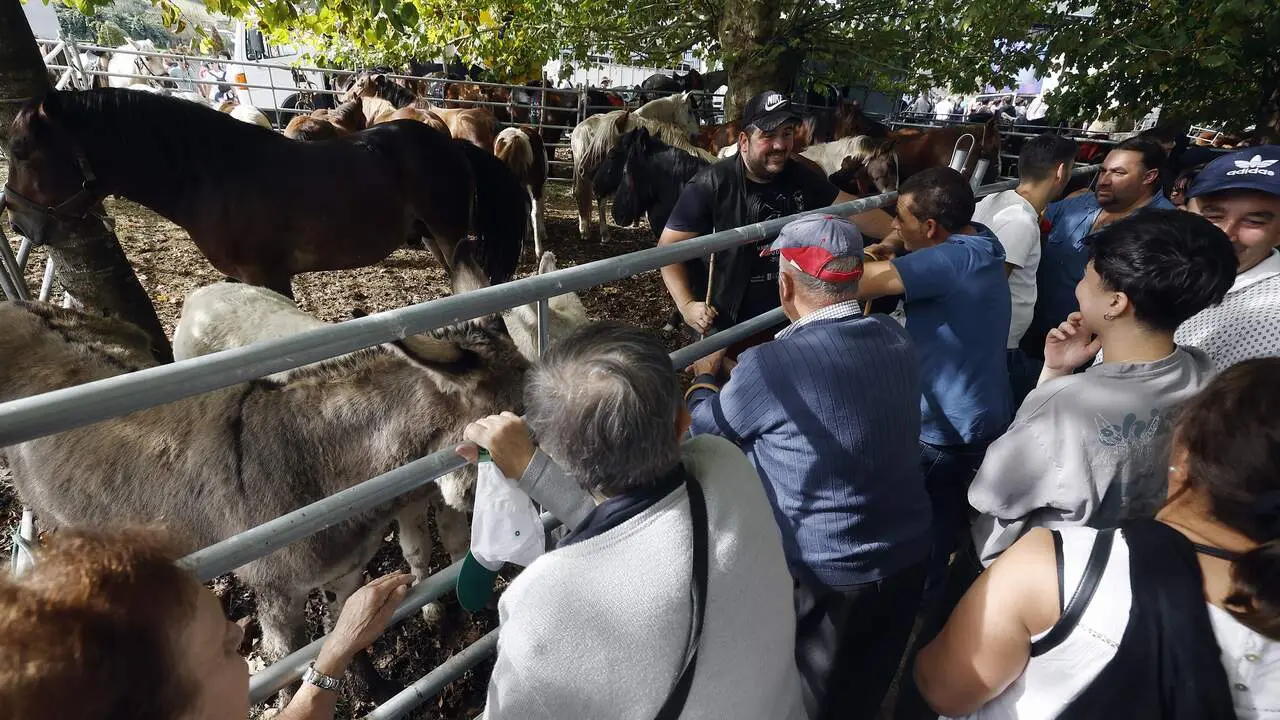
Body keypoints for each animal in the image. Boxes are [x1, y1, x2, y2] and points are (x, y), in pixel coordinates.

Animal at [3, 89, 526, 298]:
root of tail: (451, 144)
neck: (214, 176)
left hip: (448, 234)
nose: (17, 221)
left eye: (22, 150)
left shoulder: (268, 276)